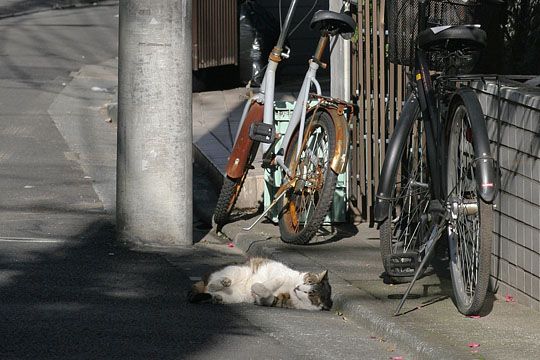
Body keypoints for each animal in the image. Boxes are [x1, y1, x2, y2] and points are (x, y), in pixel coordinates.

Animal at [190, 258, 334, 310]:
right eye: (308, 281)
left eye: (310, 294)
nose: (298, 287)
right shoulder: (279, 273)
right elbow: (275, 280)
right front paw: (259, 287)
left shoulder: (275, 301)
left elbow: (266, 296)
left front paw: (257, 291)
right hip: (238, 270)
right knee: (212, 283)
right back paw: (222, 282)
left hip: (235, 297)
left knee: (211, 293)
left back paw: (217, 297)